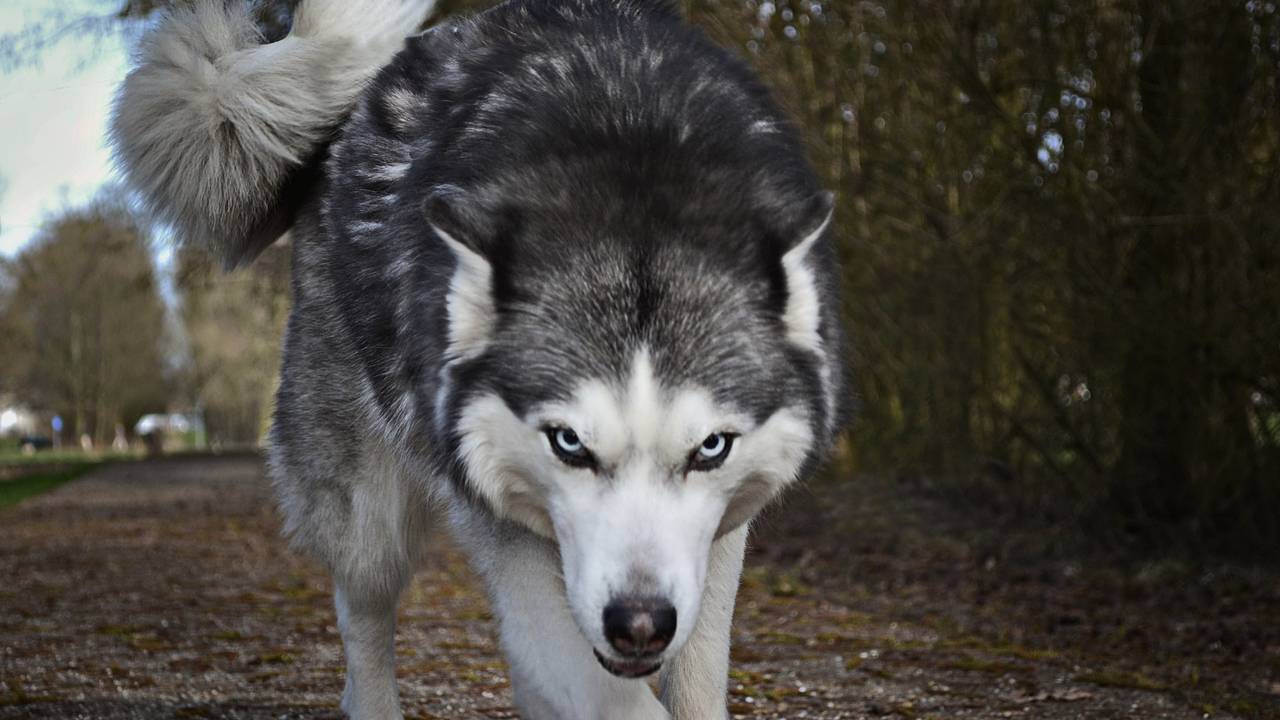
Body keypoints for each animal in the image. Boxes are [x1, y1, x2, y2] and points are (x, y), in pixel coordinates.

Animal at [112, 0, 849, 712]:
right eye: (568, 443)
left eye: (711, 448)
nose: (639, 624)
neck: (632, 161)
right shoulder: (501, 523)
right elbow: (611, 695)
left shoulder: (716, 543)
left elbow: (688, 685)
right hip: (367, 520)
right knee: (363, 622)